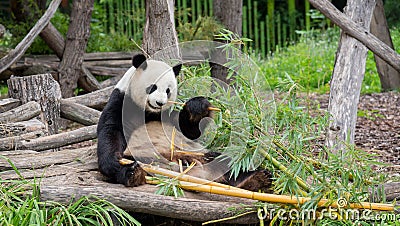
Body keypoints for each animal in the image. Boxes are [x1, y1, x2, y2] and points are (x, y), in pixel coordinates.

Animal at [96, 53, 272, 192]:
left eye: (168, 90)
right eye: (152, 87)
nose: (160, 102)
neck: (150, 112)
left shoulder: (168, 115)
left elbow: (190, 131)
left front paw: (198, 107)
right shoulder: (121, 103)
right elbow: (111, 132)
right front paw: (115, 159)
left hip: (203, 154)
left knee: (230, 162)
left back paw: (257, 179)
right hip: (147, 158)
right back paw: (133, 173)